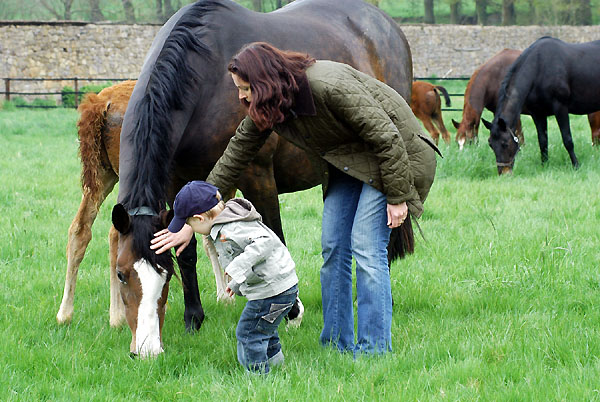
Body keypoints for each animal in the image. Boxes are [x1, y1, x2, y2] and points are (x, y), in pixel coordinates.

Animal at [109, 0, 418, 358]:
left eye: (163, 274)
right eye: (121, 274)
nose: (146, 350)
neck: (206, 80)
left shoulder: (256, 174)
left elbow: (274, 236)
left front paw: (291, 312)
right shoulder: (177, 182)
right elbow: (187, 251)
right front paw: (193, 319)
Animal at [480, 37, 600, 174]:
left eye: (505, 143)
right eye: (490, 144)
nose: (504, 173)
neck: (539, 67)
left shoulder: (561, 108)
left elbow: (567, 139)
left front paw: (576, 165)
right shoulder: (537, 114)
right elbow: (542, 141)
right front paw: (544, 165)